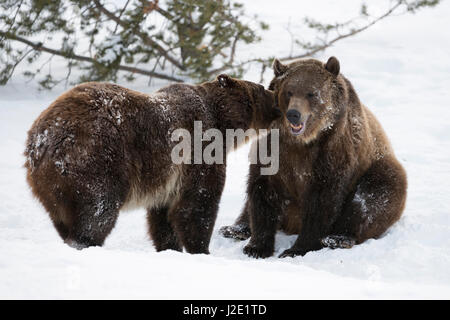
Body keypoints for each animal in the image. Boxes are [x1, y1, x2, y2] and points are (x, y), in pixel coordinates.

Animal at [25, 75, 282, 252]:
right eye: (262, 89)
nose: (278, 102)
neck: (223, 126)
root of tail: (41, 140)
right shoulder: (198, 150)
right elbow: (197, 204)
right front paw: (201, 249)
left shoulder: (167, 181)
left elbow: (163, 217)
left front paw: (170, 247)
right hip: (97, 157)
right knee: (98, 208)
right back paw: (85, 242)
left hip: (52, 187)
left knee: (65, 217)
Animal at [220, 57, 410, 258]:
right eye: (289, 91)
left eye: (311, 93)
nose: (294, 114)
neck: (301, 142)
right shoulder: (274, 149)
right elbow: (262, 192)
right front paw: (256, 247)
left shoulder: (332, 153)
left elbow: (323, 202)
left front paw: (297, 249)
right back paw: (234, 229)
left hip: (379, 170)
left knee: (370, 199)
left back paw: (339, 238)